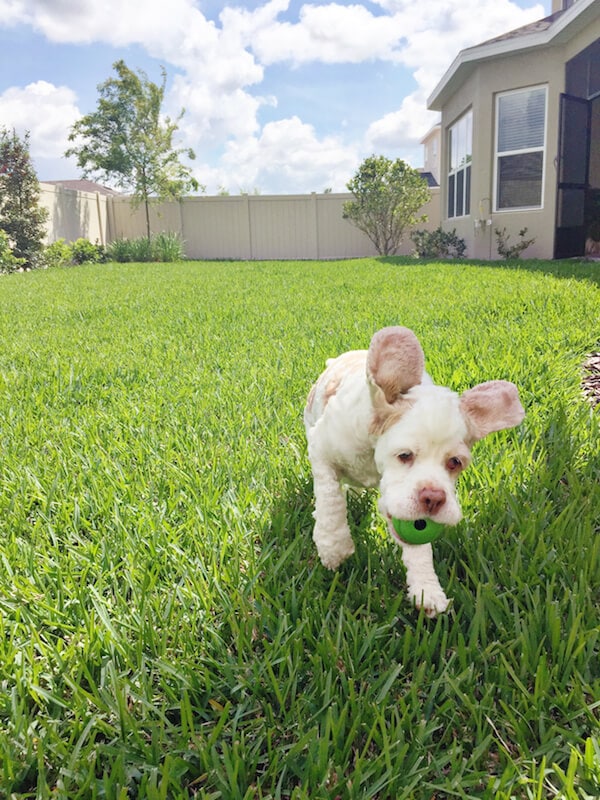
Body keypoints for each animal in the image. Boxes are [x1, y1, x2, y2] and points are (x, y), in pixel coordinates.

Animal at [302, 328, 524, 616]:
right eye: (404, 455)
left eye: (455, 462)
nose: (433, 498)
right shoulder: (321, 449)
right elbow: (330, 497)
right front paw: (334, 547)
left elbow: (418, 547)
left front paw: (427, 590)